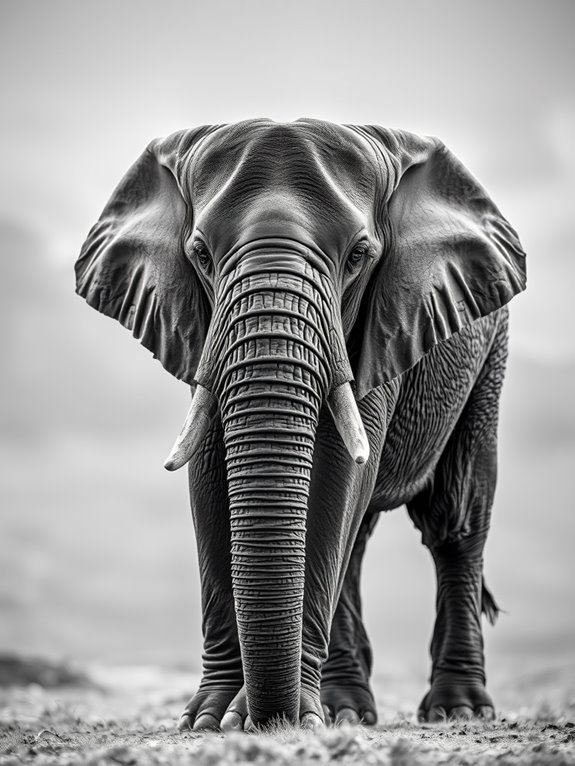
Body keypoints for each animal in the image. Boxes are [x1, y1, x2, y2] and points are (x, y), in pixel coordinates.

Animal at [75, 119, 526, 731]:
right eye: (200, 253)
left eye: (359, 255)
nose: (269, 717)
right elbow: (208, 474)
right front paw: (210, 720)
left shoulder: (382, 322)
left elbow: (338, 472)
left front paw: (282, 717)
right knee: (357, 541)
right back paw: (346, 711)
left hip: (488, 357)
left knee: (454, 520)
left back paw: (456, 710)